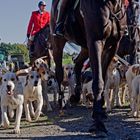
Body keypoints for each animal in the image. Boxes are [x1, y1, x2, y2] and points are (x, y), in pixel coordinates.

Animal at [50, 0, 127, 134]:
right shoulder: (95, 41)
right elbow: (98, 82)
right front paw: (98, 122)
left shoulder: (112, 46)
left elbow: (104, 79)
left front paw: (101, 110)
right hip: (57, 43)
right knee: (59, 72)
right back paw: (61, 101)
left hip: (85, 46)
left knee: (78, 63)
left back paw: (76, 95)